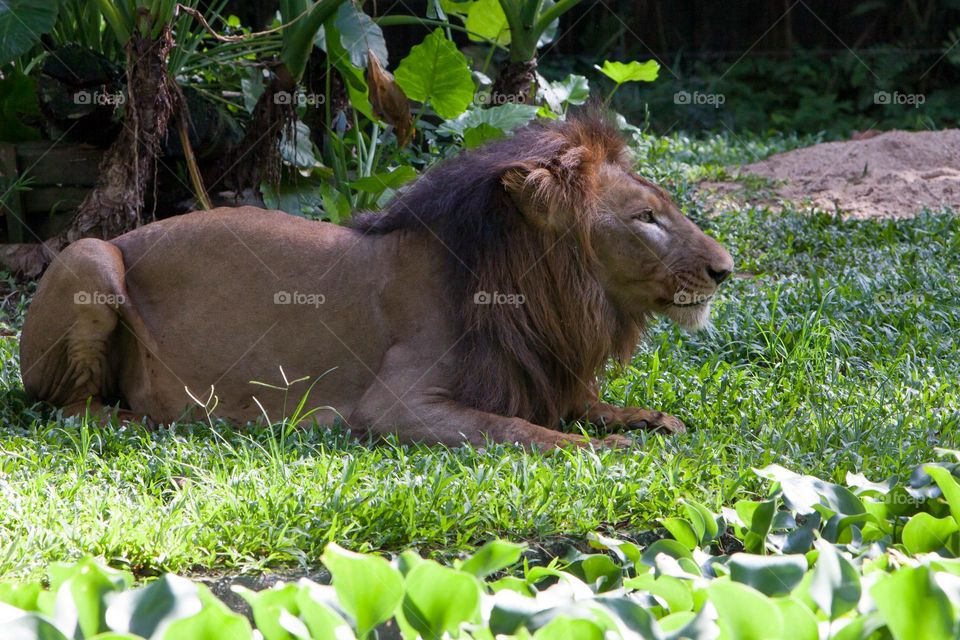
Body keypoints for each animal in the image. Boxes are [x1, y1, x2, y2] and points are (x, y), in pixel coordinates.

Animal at [20, 113, 733, 448]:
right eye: (645, 219)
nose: (724, 270)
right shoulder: (395, 407)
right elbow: (524, 432)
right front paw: (609, 449)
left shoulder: (536, 377)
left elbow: (588, 408)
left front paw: (653, 420)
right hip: (90, 255)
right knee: (71, 407)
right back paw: (151, 420)